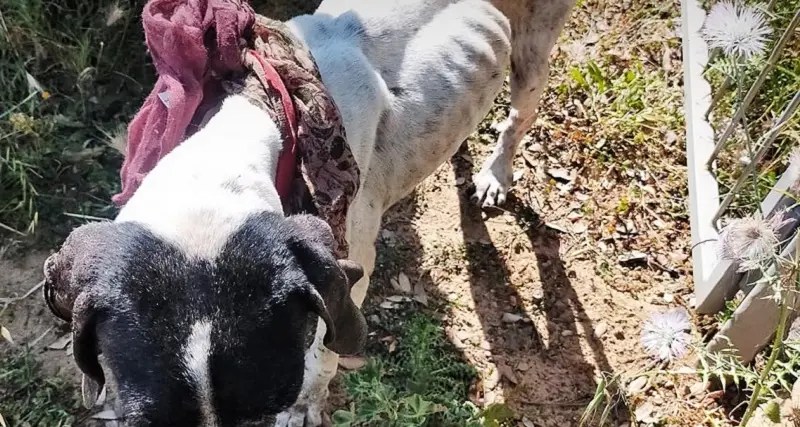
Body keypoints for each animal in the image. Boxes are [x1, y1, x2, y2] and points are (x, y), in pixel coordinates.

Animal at [45, 0, 576, 427]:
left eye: (264, 410)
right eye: (147, 422)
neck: (255, 116)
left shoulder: (349, 265)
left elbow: (323, 352)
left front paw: (306, 404)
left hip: (534, 53)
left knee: (519, 115)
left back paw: (496, 172)